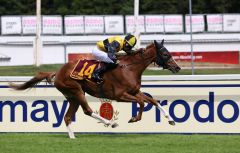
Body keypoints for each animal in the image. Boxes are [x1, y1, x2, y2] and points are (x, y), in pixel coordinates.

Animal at [10, 39, 181, 137]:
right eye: (165, 54)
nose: (177, 67)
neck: (129, 68)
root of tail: (58, 72)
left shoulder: (135, 91)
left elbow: (152, 101)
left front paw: (171, 119)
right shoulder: (120, 95)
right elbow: (142, 102)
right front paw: (134, 118)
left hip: (72, 97)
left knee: (67, 117)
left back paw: (73, 138)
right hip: (77, 91)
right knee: (87, 111)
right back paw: (110, 123)